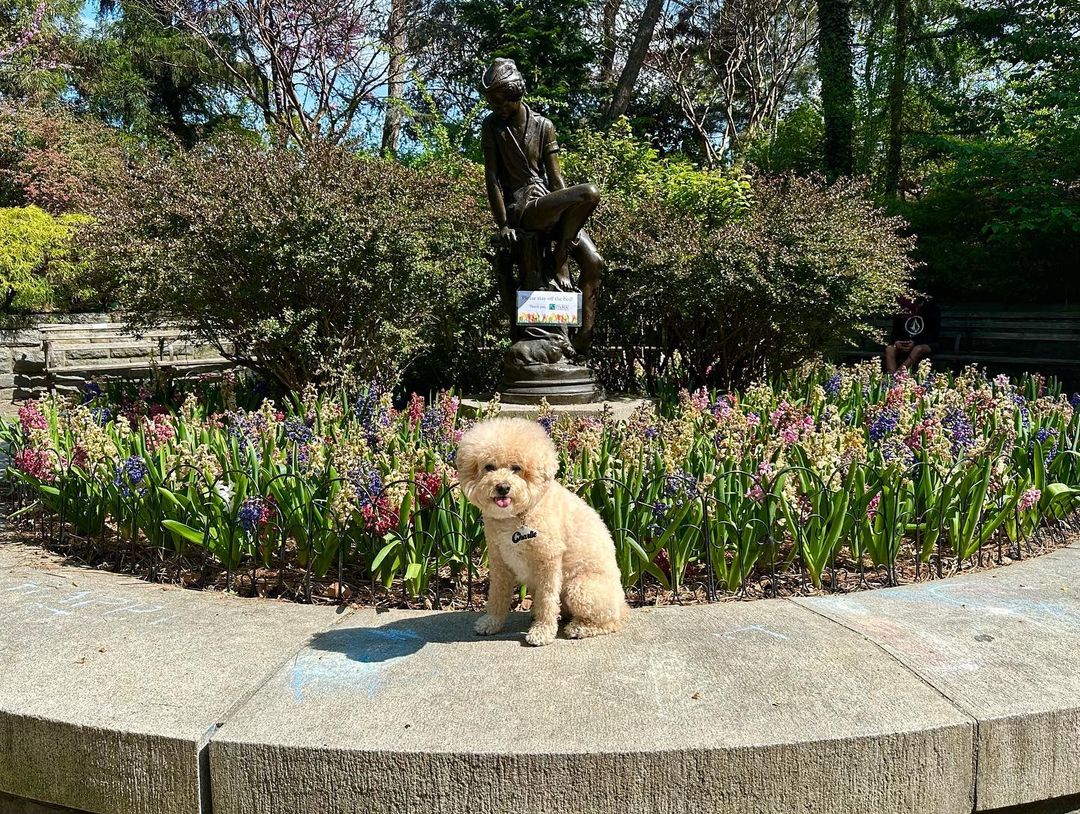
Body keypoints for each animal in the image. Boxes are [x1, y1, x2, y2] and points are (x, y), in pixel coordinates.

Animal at [457, 414, 630, 643]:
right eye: (489, 467)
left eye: (516, 468)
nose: (503, 487)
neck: (518, 516)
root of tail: (623, 604)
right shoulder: (499, 560)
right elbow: (497, 595)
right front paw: (491, 623)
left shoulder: (548, 560)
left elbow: (547, 599)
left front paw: (543, 632)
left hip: (580, 589)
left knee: (610, 622)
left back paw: (579, 628)